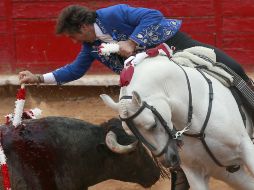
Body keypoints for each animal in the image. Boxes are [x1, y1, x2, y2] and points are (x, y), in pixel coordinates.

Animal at [101, 50, 254, 190]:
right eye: (131, 134)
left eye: (153, 125)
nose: (168, 160)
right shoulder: (195, 171)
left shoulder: (245, 148)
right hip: (227, 172)